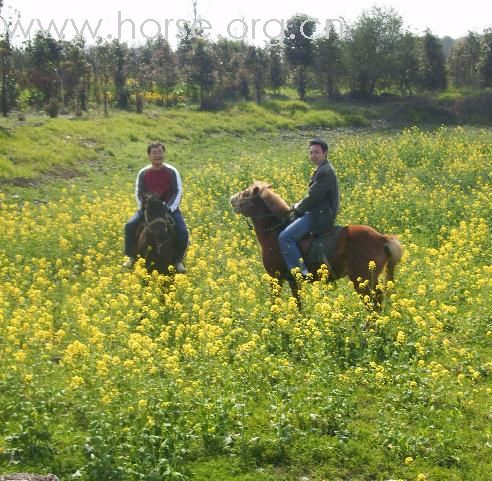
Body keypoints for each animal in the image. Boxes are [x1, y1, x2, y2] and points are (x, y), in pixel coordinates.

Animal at [231, 179, 404, 308]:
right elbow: (298, 305)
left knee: (374, 304)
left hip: (362, 280)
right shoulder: (293, 282)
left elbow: (275, 303)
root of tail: (381, 238)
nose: (231, 199)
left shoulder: (275, 278)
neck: (275, 231)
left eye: (245, 193)